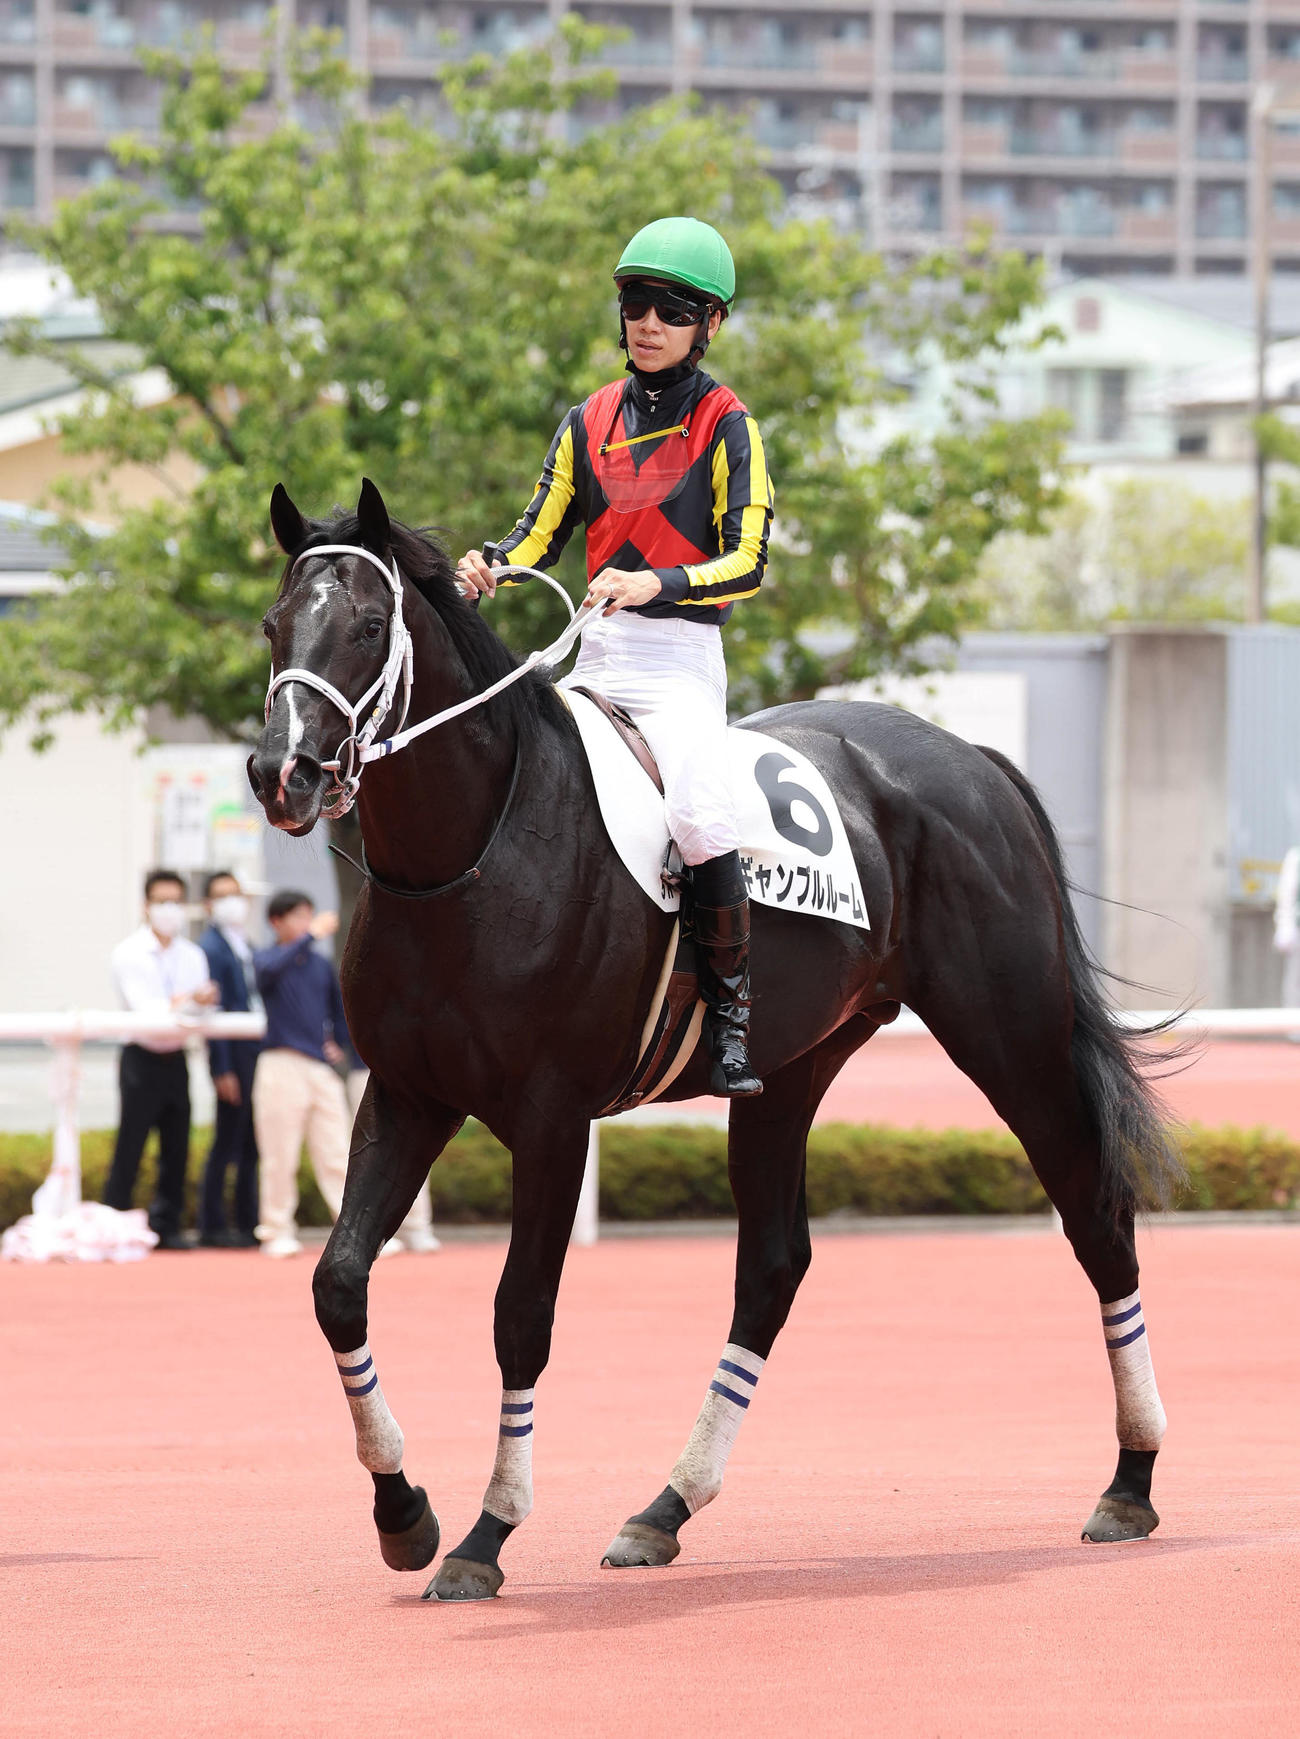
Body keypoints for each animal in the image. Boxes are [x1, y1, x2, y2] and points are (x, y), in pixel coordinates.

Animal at [247, 478, 1180, 1602]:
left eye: (369, 626)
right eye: (273, 625)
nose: (283, 772)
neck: (473, 852)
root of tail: (974, 761)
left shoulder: (551, 1119)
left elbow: (521, 1314)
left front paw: (485, 1533)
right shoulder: (408, 1093)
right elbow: (338, 1283)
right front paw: (403, 1511)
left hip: (1015, 1034)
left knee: (1097, 1216)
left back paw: (1130, 1479)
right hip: (790, 1070)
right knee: (771, 1268)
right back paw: (665, 1507)